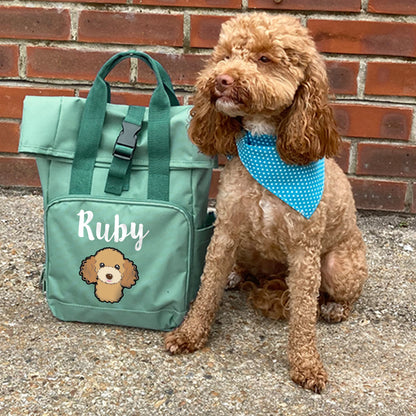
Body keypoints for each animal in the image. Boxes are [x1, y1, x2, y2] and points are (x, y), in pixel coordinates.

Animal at [165, 11, 368, 392]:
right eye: (225, 55)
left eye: (264, 58)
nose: (221, 80)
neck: (265, 147)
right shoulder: (226, 231)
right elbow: (207, 289)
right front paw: (190, 334)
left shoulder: (304, 251)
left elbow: (303, 315)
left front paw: (306, 365)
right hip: (246, 245)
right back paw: (235, 275)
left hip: (340, 266)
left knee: (343, 295)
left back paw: (334, 307)